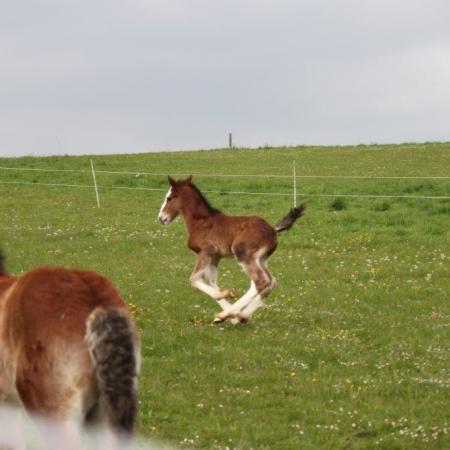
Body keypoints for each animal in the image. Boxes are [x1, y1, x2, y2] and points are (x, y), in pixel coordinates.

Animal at [158, 176, 306, 324]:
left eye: (169, 198)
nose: (161, 218)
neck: (201, 222)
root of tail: (273, 230)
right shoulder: (215, 257)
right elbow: (211, 282)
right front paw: (231, 314)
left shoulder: (205, 252)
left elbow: (194, 279)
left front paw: (227, 299)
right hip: (262, 260)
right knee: (270, 282)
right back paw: (241, 315)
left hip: (243, 254)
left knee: (261, 282)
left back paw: (229, 314)